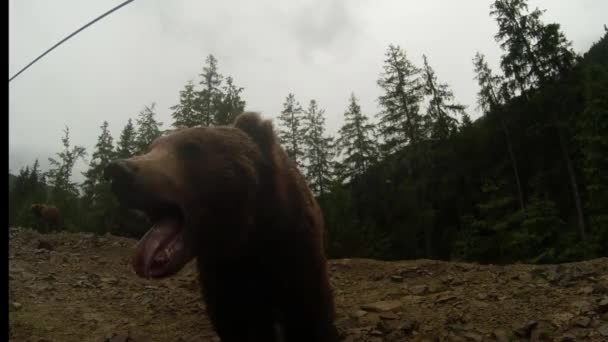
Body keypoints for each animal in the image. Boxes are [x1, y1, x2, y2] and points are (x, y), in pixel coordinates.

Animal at [105, 112, 342, 342]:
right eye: (152, 147)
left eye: (191, 147)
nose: (117, 171)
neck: (246, 237)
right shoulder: (222, 274)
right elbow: (237, 324)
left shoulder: (294, 250)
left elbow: (309, 317)